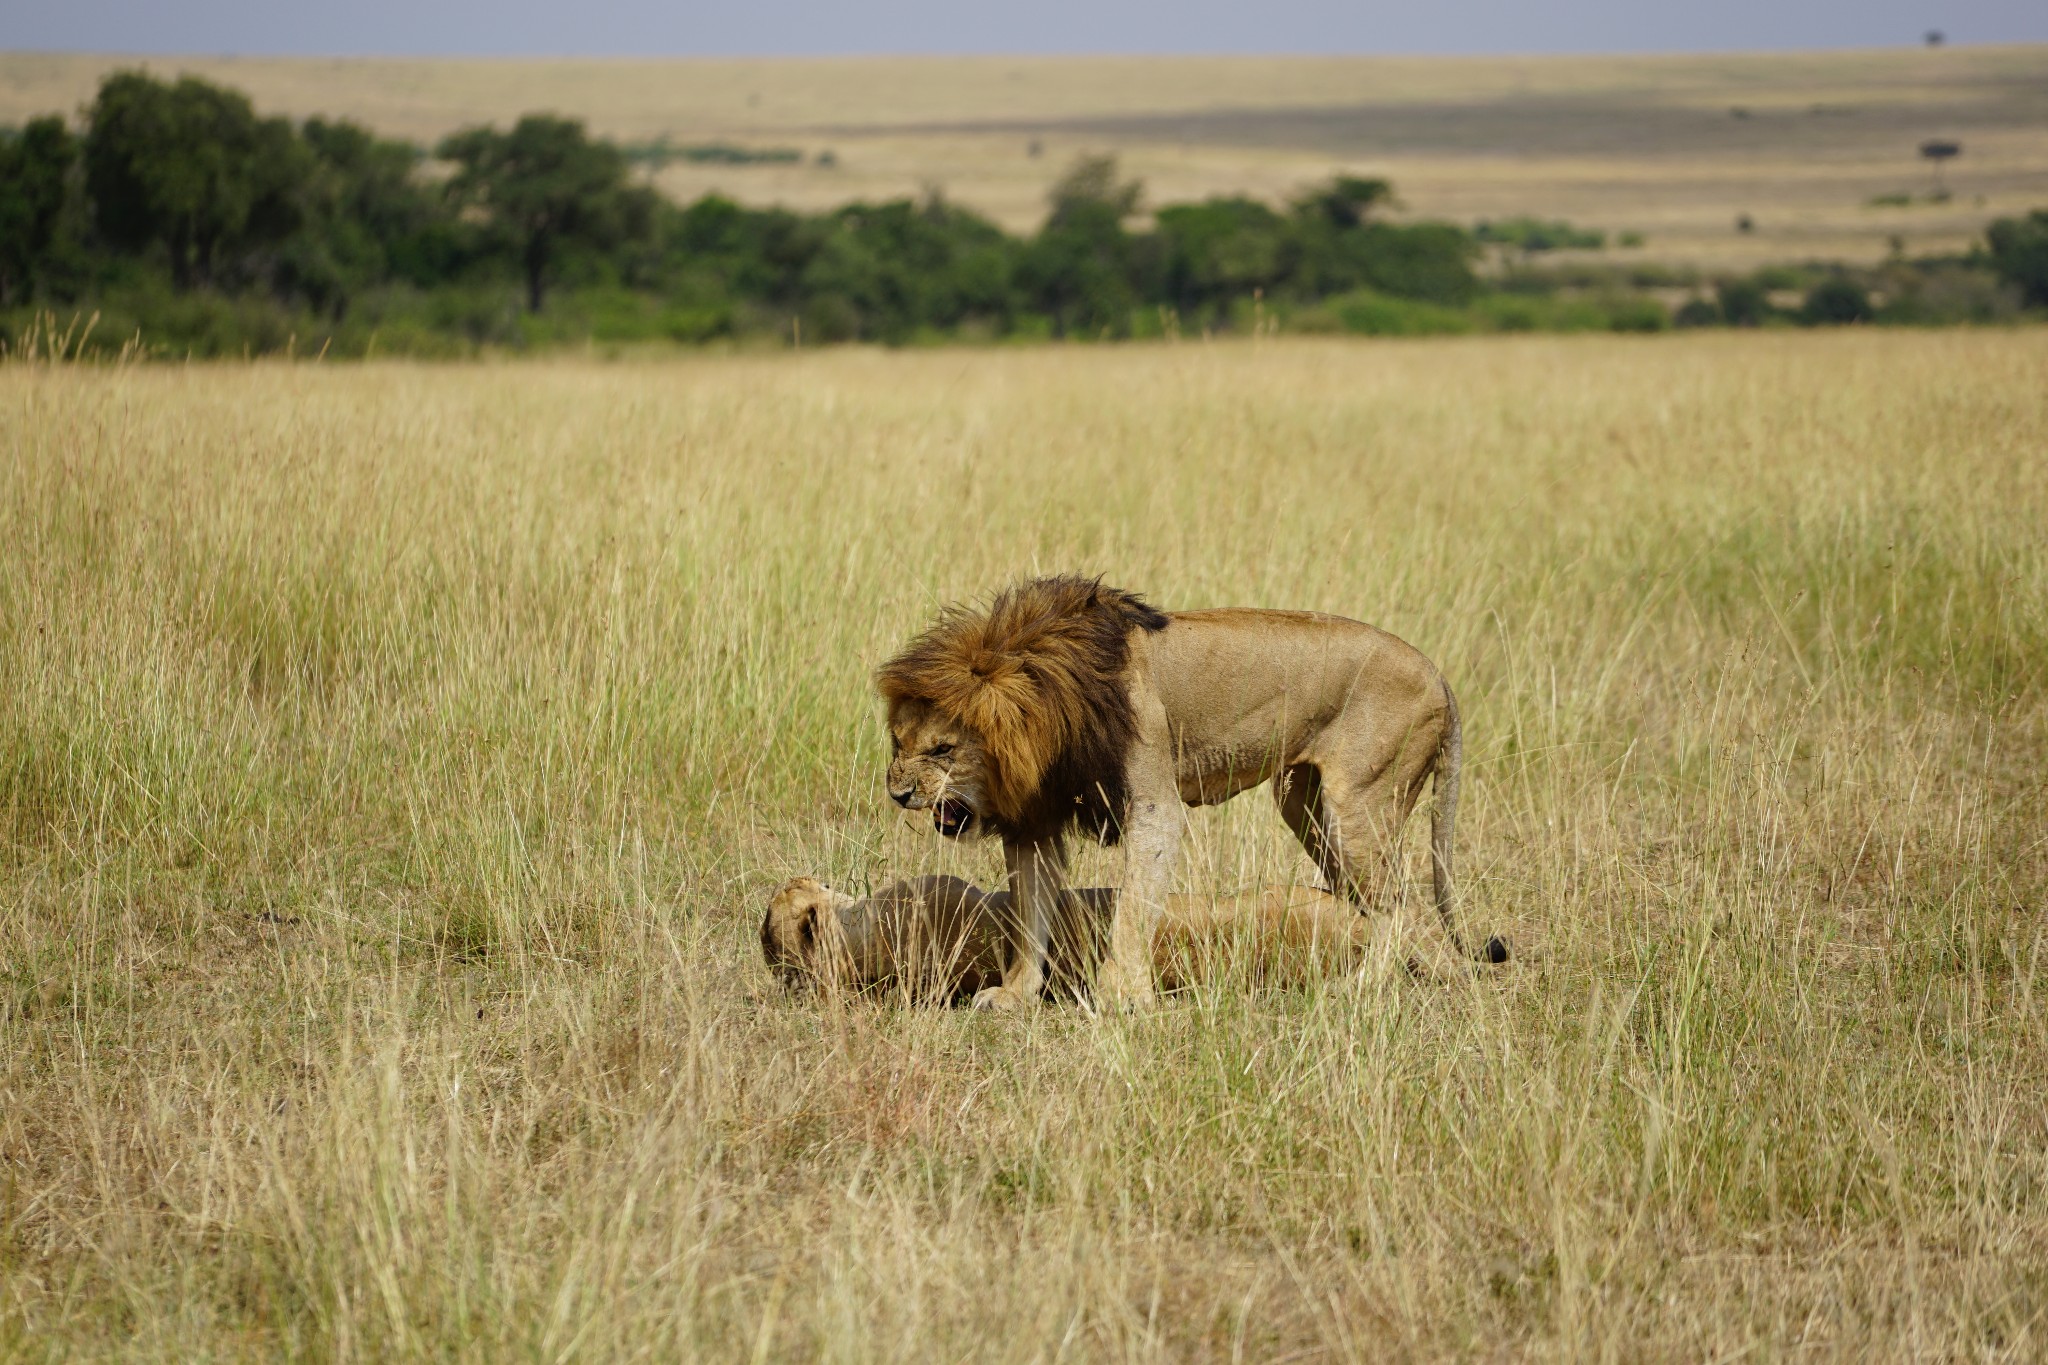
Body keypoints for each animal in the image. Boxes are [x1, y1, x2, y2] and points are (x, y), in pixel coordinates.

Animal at [872, 573, 1499, 1010]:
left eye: (943, 750)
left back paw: (1362, 985)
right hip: (1304, 803)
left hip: (1360, 802)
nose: (898, 795)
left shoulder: (1154, 804)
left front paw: (1122, 996)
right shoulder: (1035, 820)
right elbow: (1030, 911)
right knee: (1365, 896)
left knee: (1397, 900)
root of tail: (1439, 674)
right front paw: (1014, 996)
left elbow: (1133, 906)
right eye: (898, 741)